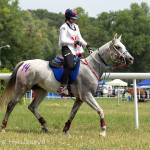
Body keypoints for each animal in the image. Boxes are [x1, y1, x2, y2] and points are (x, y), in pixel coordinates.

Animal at [0, 33, 134, 137]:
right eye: (118, 47)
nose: (131, 59)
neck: (91, 67)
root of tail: (25, 63)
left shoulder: (80, 98)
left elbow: (72, 114)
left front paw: (66, 130)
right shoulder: (86, 96)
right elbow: (100, 110)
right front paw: (103, 132)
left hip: (41, 91)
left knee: (32, 107)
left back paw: (45, 126)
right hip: (21, 88)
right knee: (11, 105)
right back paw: (3, 127)